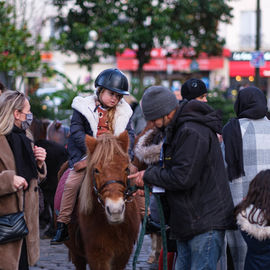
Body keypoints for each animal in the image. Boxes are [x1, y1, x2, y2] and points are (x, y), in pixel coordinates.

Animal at [64, 130, 140, 268]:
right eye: (96, 170)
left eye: (126, 168)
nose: (115, 210)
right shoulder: (97, 253)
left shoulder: (123, 254)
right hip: (77, 253)